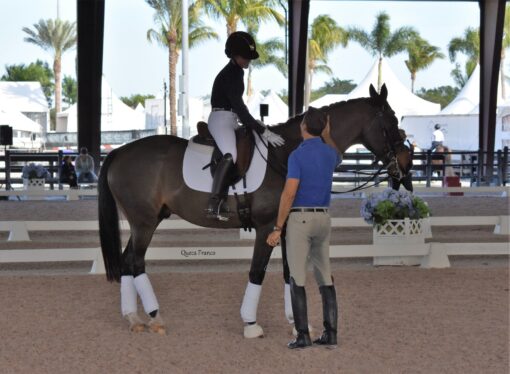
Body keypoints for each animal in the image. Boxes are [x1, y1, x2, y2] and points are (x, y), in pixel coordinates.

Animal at [98, 85, 410, 336]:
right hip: (144, 222)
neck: (287, 153)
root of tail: (119, 151)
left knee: (127, 261)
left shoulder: (285, 226)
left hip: (144, 221)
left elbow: (289, 272)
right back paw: (155, 317)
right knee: (136, 262)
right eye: (392, 122)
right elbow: (257, 272)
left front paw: (297, 324)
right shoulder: (266, 227)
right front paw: (250, 324)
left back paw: (133, 318)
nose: (405, 167)